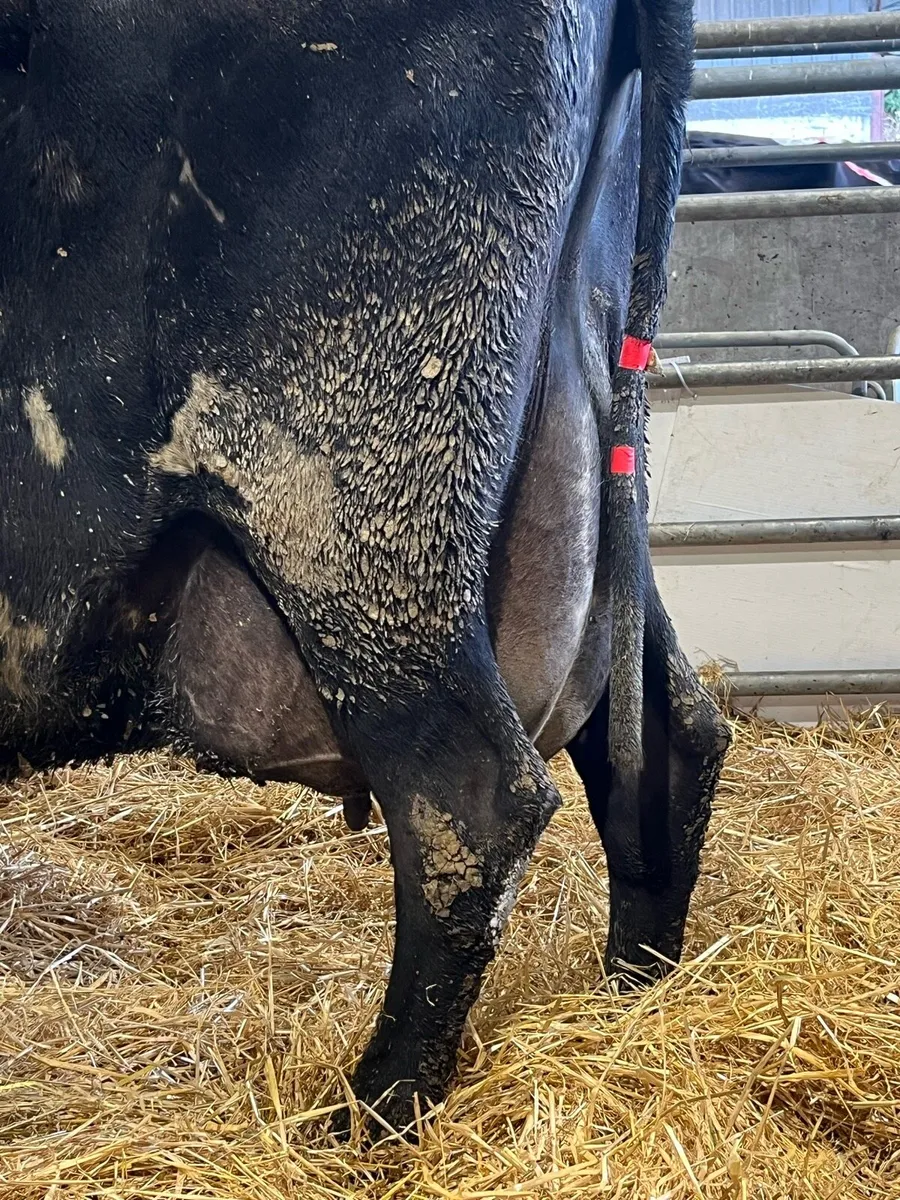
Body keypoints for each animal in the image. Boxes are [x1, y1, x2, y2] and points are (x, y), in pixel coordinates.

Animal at [0, 0, 728, 1132]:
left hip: (355, 503)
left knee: (471, 800)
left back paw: (369, 1114)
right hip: (597, 476)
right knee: (668, 733)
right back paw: (629, 1000)